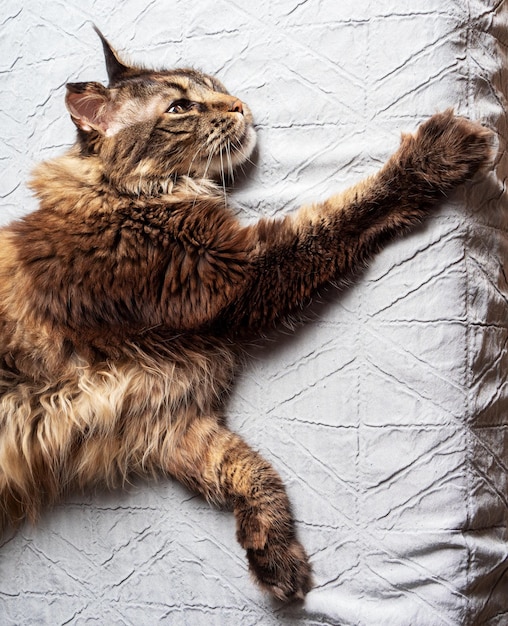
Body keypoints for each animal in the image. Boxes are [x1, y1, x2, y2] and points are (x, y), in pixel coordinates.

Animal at [0, 28, 492, 600]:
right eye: (180, 108)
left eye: (213, 86)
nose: (238, 105)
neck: (120, 197)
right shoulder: (237, 276)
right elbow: (344, 213)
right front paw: (440, 151)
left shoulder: (169, 419)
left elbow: (253, 473)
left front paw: (275, 553)